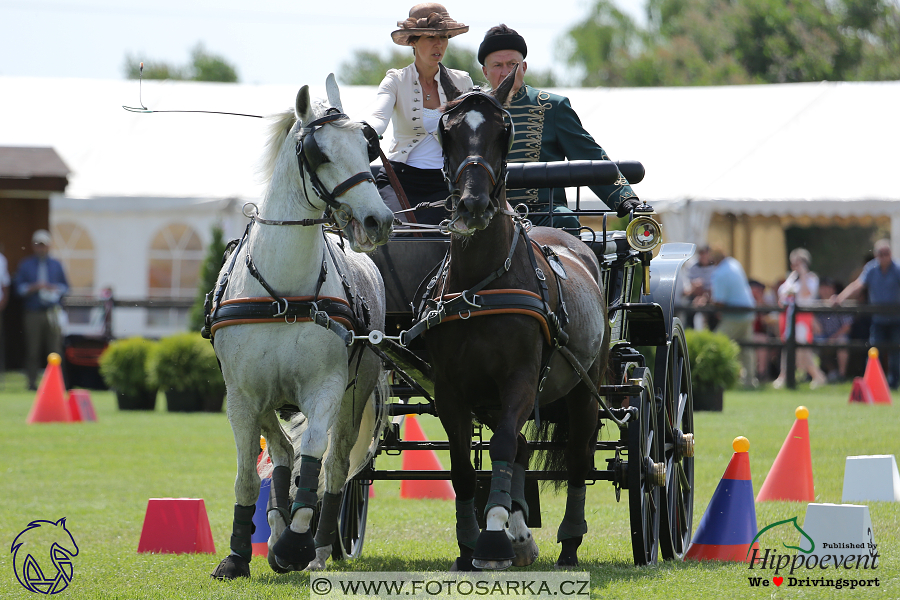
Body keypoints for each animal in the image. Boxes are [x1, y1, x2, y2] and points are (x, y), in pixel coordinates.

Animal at [422, 69, 612, 568]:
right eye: (446, 132)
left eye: (502, 132)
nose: (472, 205)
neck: (480, 285)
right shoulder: (450, 390)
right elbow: (462, 466)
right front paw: (470, 544)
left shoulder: (521, 379)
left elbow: (504, 446)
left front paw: (491, 537)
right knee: (524, 449)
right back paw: (521, 535)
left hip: (585, 388)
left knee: (579, 457)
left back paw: (569, 541)